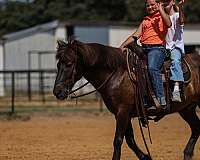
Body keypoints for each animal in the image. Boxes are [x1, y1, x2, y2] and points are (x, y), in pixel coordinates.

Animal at [52, 39, 200, 160]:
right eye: (58, 64)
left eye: (69, 63)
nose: (57, 91)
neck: (116, 73)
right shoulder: (124, 114)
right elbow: (130, 140)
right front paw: (146, 157)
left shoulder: (123, 112)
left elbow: (118, 140)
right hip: (187, 109)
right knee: (196, 128)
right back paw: (187, 154)